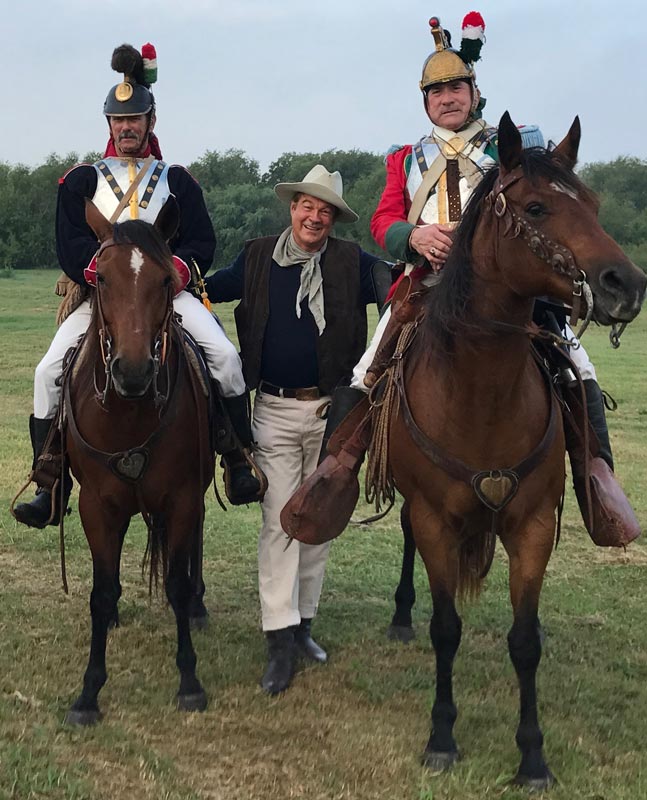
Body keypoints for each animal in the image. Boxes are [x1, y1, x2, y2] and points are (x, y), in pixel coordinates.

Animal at [62, 198, 213, 724]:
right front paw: (89, 691)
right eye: (102, 278)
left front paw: (189, 681)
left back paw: (199, 608)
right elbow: (100, 590)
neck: (129, 412)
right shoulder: (96, 503)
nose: (131, 372)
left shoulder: (182, 497)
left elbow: (175, 585)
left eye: (166, 280)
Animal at [384, 114, 647, 788]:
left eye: (595, 205)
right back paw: (400, 616)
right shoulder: (435, 520)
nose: (626, 285)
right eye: (535, 207)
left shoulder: (529, 523)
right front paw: (442, 737)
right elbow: (445, 628)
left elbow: (524, 640)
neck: (480, 390)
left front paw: (532, 756)